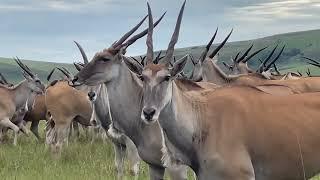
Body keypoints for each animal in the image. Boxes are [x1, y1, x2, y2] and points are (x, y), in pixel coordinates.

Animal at [71, 11, 190, 180]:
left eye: (105, 58)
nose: (75, 79)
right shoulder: (121, 146)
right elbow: (118, 168)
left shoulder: (138, 150)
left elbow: (133, 170)